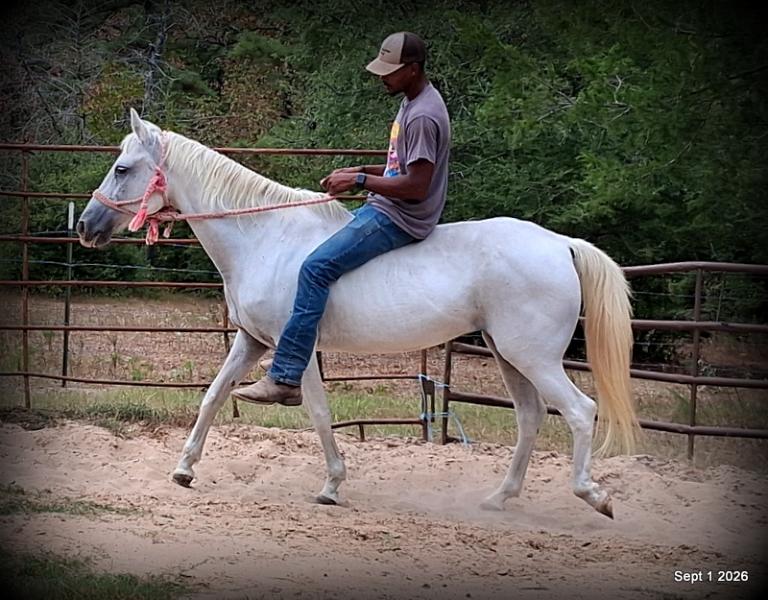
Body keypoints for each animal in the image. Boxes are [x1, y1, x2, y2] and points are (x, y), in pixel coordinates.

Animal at [77, 108, 637, 519]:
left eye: (122, 169)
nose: (86, 225)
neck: (265, 237)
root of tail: (562, 244)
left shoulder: (295, 346)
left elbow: (318, 414)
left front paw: (331, 485)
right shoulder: (252, 341)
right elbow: (213, 396)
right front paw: (184, 469)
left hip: (533, 356)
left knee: (579, 411)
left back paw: (594, 495)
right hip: (508, 354)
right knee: (530, 416)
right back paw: (499, 498)